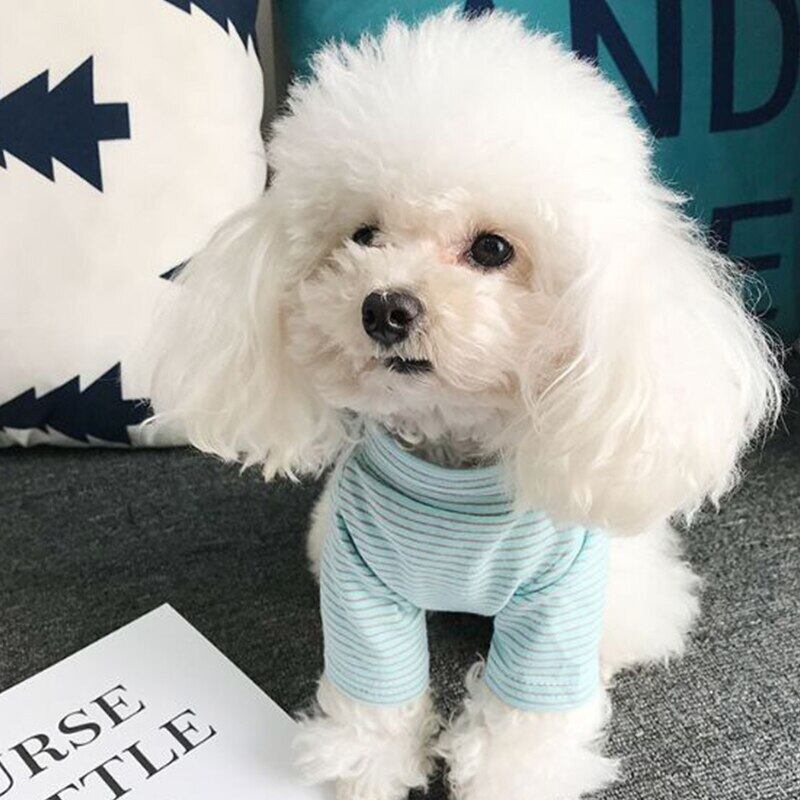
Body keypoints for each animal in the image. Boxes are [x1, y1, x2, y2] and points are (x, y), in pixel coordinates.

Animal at [148, 8, 783, 799]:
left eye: (492, 249)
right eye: (363, 235)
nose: (385, 308)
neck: (452, 460)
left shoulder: (559, 599)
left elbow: (528, 712)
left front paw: (515, 775)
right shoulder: (359, 573)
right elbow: (375, 689)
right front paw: (367, 765)